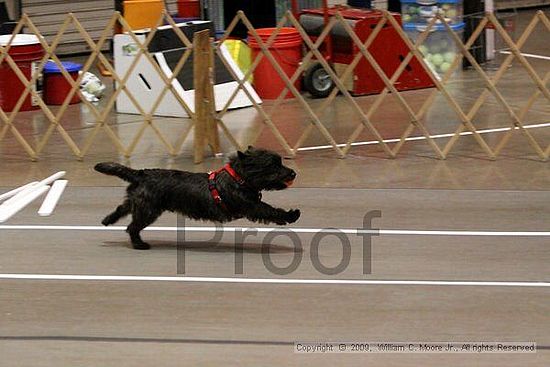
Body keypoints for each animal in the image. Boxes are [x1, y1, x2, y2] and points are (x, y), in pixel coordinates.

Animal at [96, 147, 302, 250]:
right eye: (273, 165)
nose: (293, 173)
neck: (239, 177)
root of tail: (140, 173)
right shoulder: (251, 206)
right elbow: (269, 210)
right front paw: (291, 215)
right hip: (148, 210)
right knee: (132, 227)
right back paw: (139, 244)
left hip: (139, 202)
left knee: (122, 209)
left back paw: (107, 220)